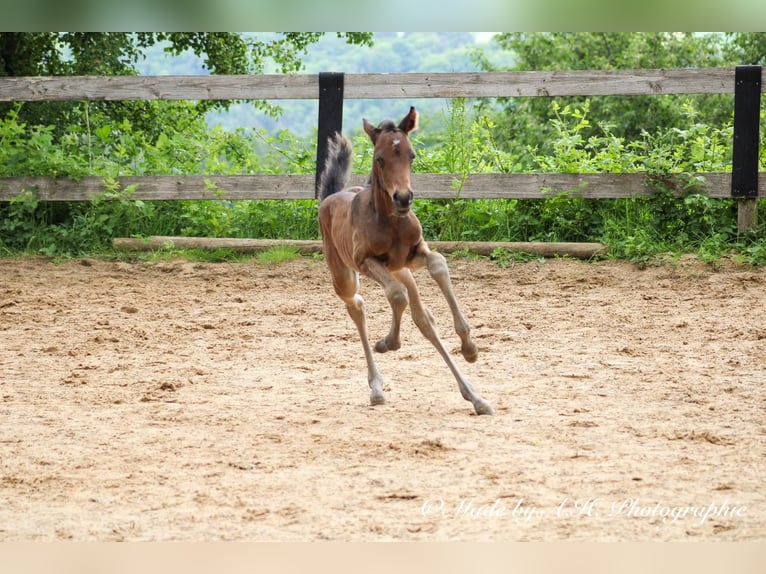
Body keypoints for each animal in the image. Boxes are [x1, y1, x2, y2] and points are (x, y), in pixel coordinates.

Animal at [320, 106, 496, 416]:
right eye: (379, 158)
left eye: (411, 155)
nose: (403, 198)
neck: (391, 222)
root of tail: (329, 198)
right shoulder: (366, 261)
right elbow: (395, 295)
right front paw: (388, 342)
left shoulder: (416, 253)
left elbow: (438, 265)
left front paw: (470, 347)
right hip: (345, 275)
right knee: (358, 305)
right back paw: (376, 387)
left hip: (401, 269)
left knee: (423, 319)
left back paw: (475, 397)